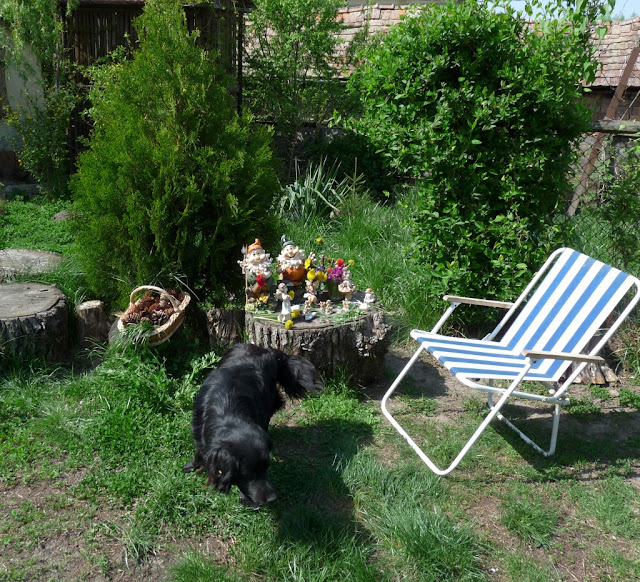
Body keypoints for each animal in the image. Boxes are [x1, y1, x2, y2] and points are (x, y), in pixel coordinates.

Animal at [182, 343, 322, 506]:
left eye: (266, 467)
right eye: (247, 473)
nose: (272, 499)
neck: (227, 411)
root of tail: (266, 349)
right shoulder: (199, 430)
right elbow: (198, 451)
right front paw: (192, 465)